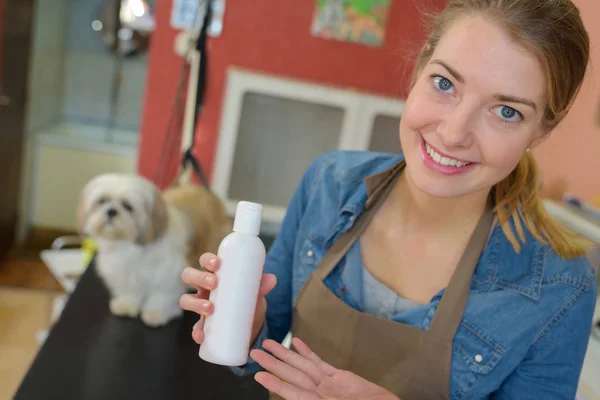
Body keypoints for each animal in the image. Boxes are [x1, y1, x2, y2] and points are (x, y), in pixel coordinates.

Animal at [77, 173, 230, 326]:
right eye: (102, 200)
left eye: (128, 206)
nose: (111, 211)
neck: (130, 247)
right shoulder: (125, 273)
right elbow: (129, 290)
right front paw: (127, 305)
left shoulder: (167, 274)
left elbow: (161, 295)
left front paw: (156, 313)